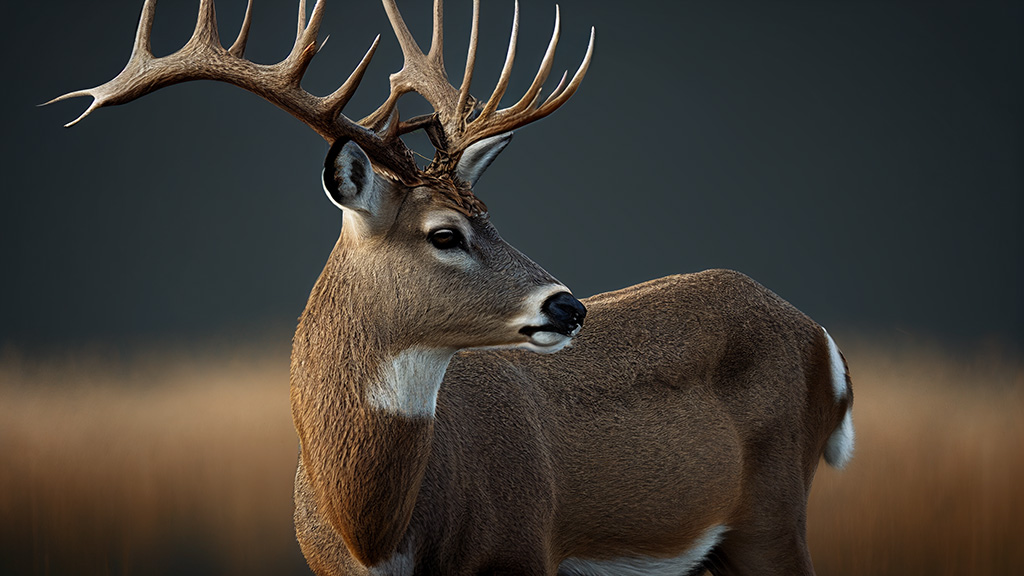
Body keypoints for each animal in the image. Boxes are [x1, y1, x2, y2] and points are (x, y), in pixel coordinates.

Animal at [49, 0, 856, 569]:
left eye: (489, 215)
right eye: (446, 233)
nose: (568, 306)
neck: (375, 535)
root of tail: (821, 338)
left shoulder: (525, 549)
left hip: (774, 516)